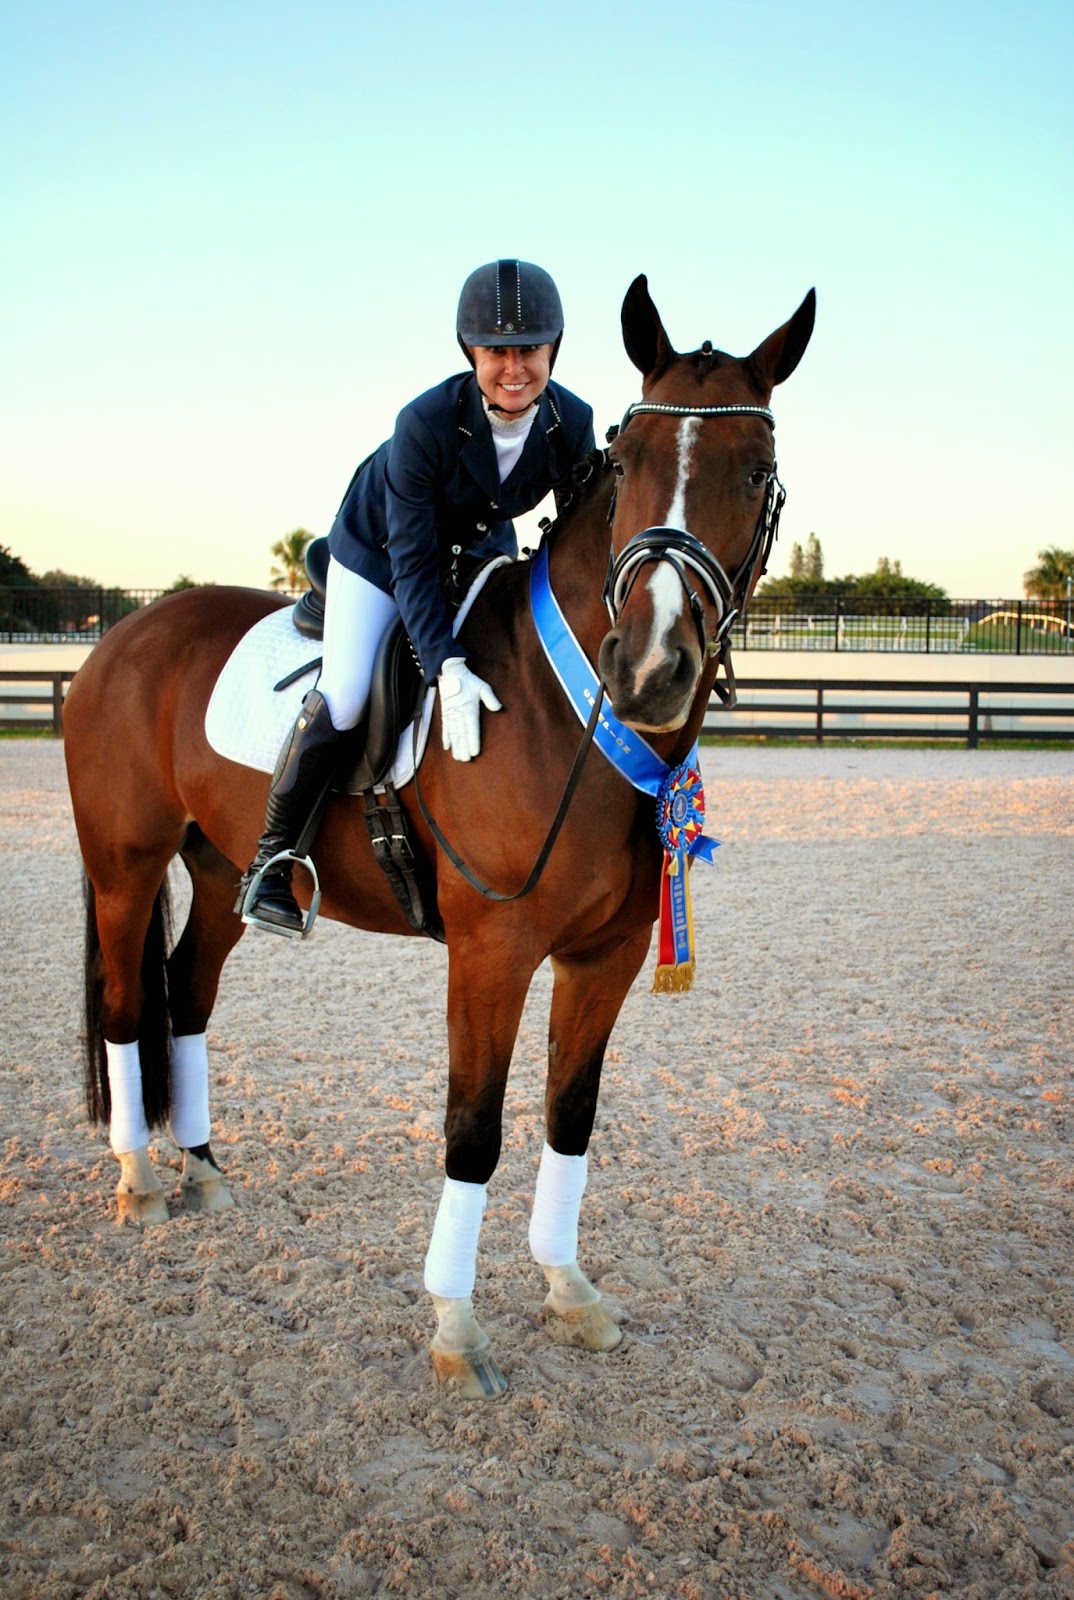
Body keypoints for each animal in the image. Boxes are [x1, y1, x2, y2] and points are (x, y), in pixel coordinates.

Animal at [63, 277, 814, 1398]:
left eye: (756, 471)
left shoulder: (605, 956)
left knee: (187, 994)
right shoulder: (492, 953)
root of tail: (120, 638)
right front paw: (457, 1327)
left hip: (222, 865)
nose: (650, 671)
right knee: (124, 1006)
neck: (568, 712)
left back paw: (202, 1169)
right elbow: (474, 1131)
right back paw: (141, 1179)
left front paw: (568, 1290)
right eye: (628, 463)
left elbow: (570, 1116)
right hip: (126, 866)